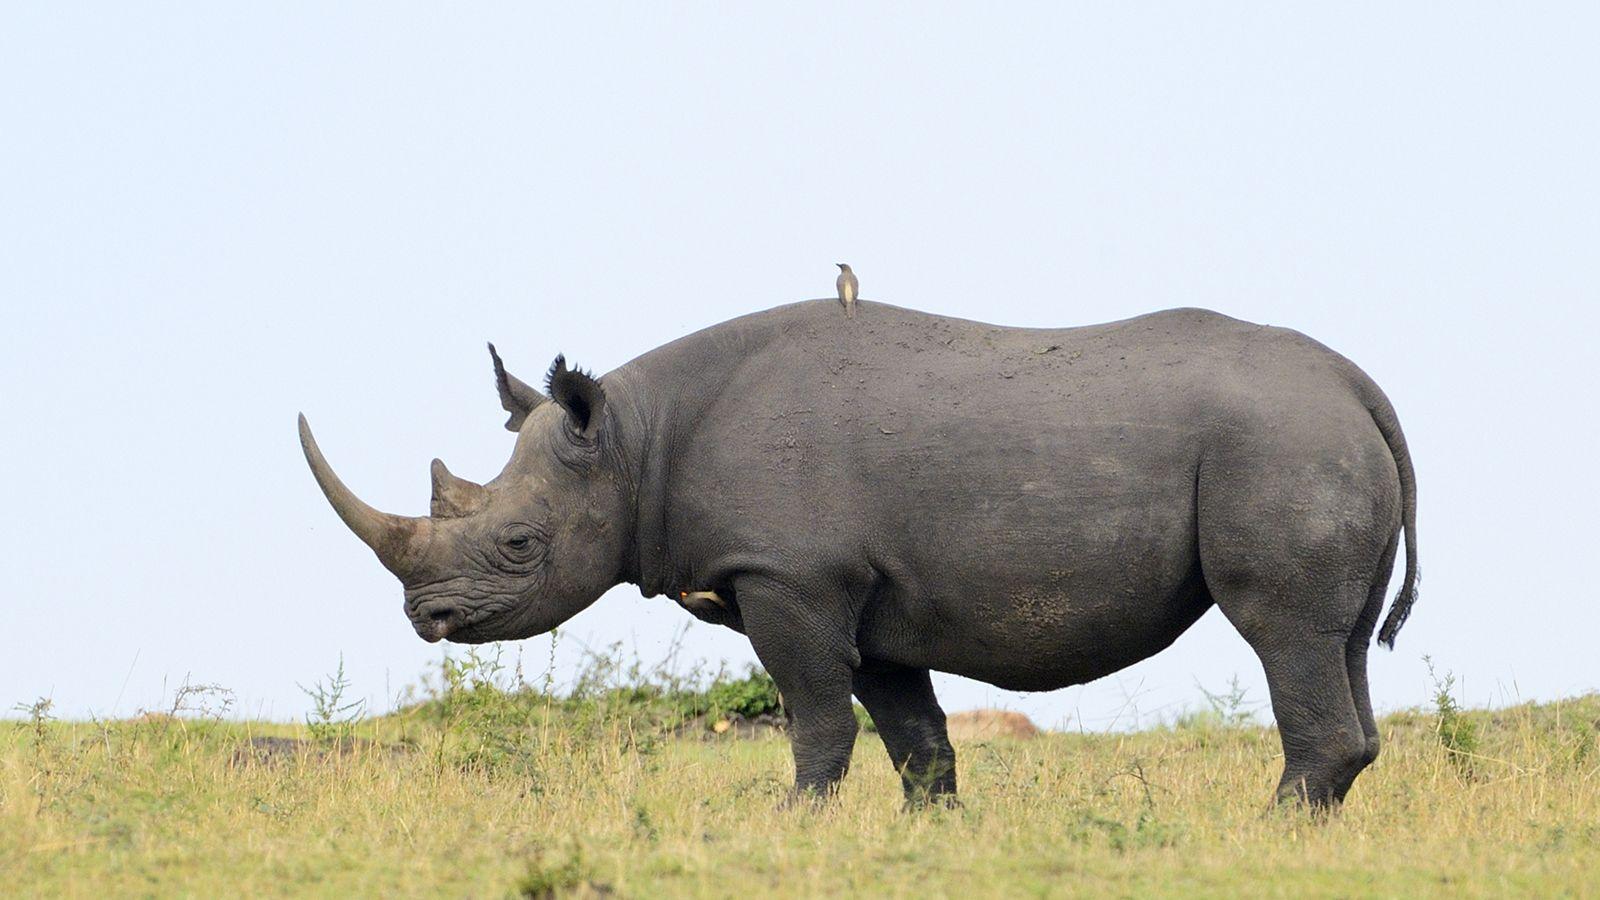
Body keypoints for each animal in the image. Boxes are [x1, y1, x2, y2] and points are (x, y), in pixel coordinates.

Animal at [299, 299, 1418, 809]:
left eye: (520, 542)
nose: (427, 618)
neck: (635, 442)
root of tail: (1361, 386)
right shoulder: (873, 599)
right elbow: (912, 735)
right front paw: (935, 834)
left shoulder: (787, 575)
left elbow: (815, 715)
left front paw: (791, 821)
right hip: (1310, 441)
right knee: (1340, 638)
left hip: (1279, 445)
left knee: (1281, 631)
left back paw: (1265, 830)